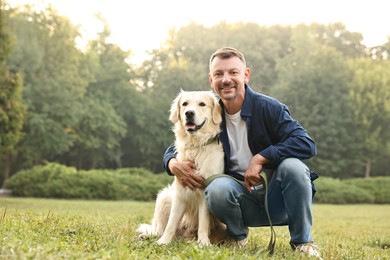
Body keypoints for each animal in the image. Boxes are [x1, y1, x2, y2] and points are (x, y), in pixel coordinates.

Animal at [139, 90, 227, 245]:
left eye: (202, 104)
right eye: (185, 104)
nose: (189, 113)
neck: (195, 146)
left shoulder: (204, 191)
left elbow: (203, 222)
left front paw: (204, 243)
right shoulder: (180, 192)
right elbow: (171, 223)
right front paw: (163, 242)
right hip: (164, 197)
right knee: (159, 229)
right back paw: (150, 236)